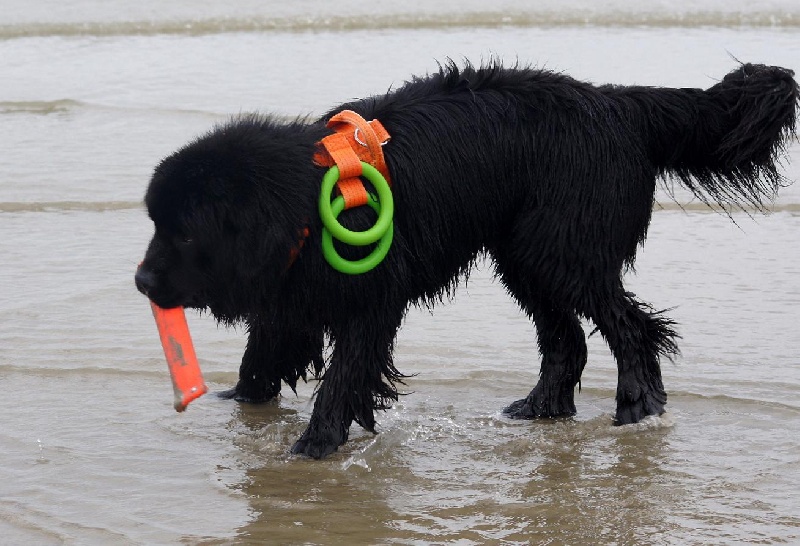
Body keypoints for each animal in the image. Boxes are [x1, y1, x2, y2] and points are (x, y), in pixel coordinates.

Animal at [134, 61, 796, 456]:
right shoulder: (289, 292)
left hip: (564, 249)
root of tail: (618, 105)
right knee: (566, 339)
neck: (303, 200)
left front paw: (315, 444)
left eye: (184, 235)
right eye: (155, 225)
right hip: (526, 254)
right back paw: (541, 408)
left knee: (630, 326)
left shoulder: (373, 298)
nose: (141, 280)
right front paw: (241, 405)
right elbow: (262, 353)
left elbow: (345, 372)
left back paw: (637, 404)